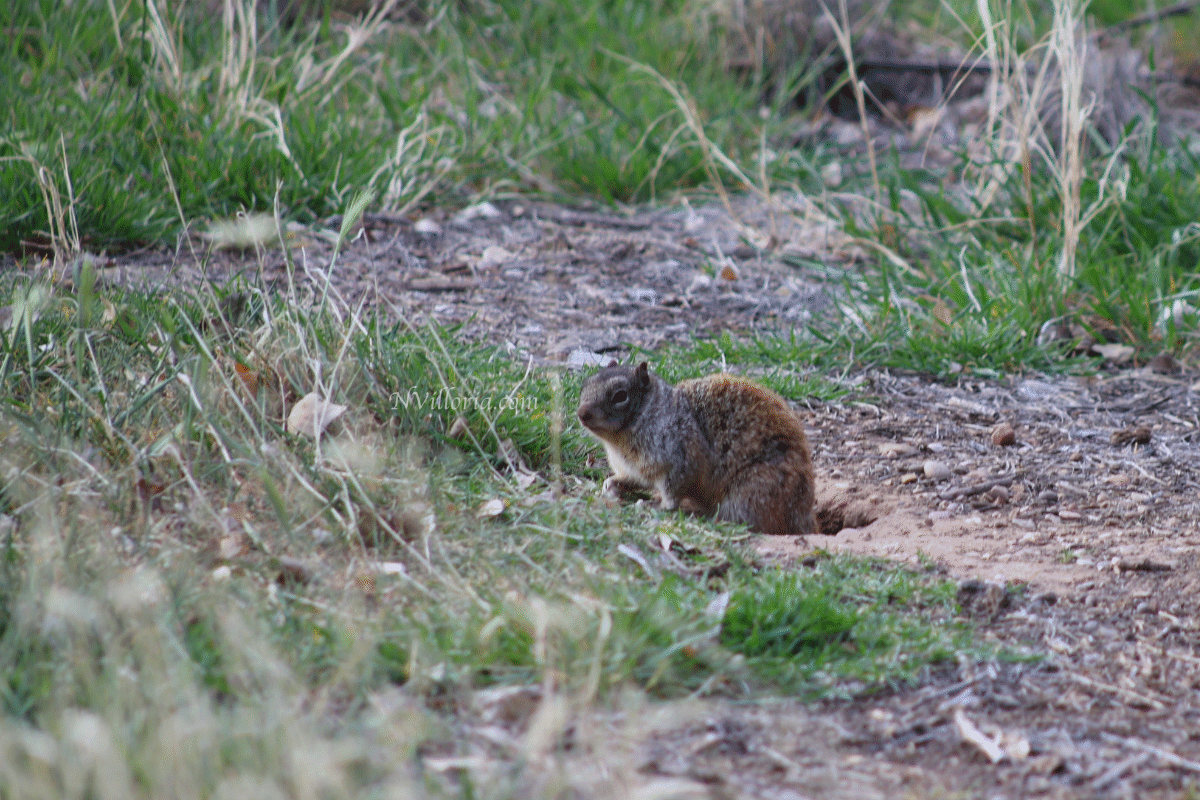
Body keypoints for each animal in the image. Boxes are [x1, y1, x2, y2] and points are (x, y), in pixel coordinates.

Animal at [576, 361, 815, 536]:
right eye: (586, 384)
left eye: (620, 396)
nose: (581, 413)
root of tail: (803, 513)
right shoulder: (635, 468)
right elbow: (632, 479)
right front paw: (611, 484)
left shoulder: (680, 459)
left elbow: (672, 494)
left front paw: (653, 505)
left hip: (754, 492)